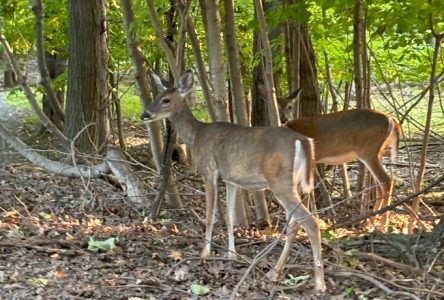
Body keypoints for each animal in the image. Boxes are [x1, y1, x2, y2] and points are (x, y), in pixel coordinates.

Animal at [142, 71, 326, 292]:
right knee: (295, 223)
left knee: (310, 222)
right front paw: (231, 254)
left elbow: (210, 215)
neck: (196, 137)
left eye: (166, 100)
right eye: (156, 96)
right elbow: (230, 217)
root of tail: (304, 141)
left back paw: (319, 284)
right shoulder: (231, 181)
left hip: (280, 181)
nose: (145, 114)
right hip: (296, 183)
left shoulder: (209, 171)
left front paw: (205, 253)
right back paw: (275, 272)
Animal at [274, 89, 402, 230]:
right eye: (277, 105)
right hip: (377, 152)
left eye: (290, 106)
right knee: (379, 185)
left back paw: (382, 226)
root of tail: (393, 121)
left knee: (386, 181)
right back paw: (369, 222)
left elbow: (305, 190)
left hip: (368, 151)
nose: (283, 118)